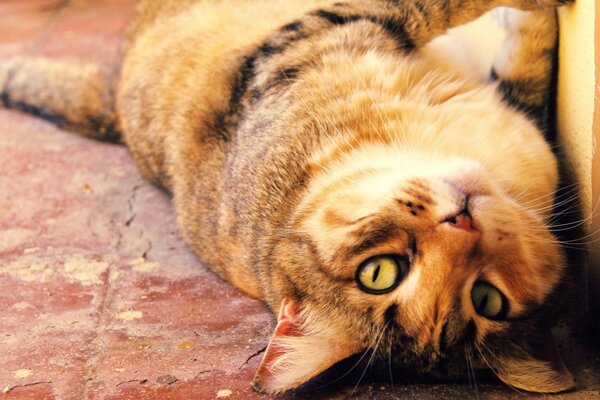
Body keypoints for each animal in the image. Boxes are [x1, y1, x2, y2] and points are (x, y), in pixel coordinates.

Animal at [0, 0, 576, 396]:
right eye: (380, 273)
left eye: (487, 299)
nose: (464, 221)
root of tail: (113, 100)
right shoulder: (310, 37)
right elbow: (437, 7)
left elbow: (528, 60)